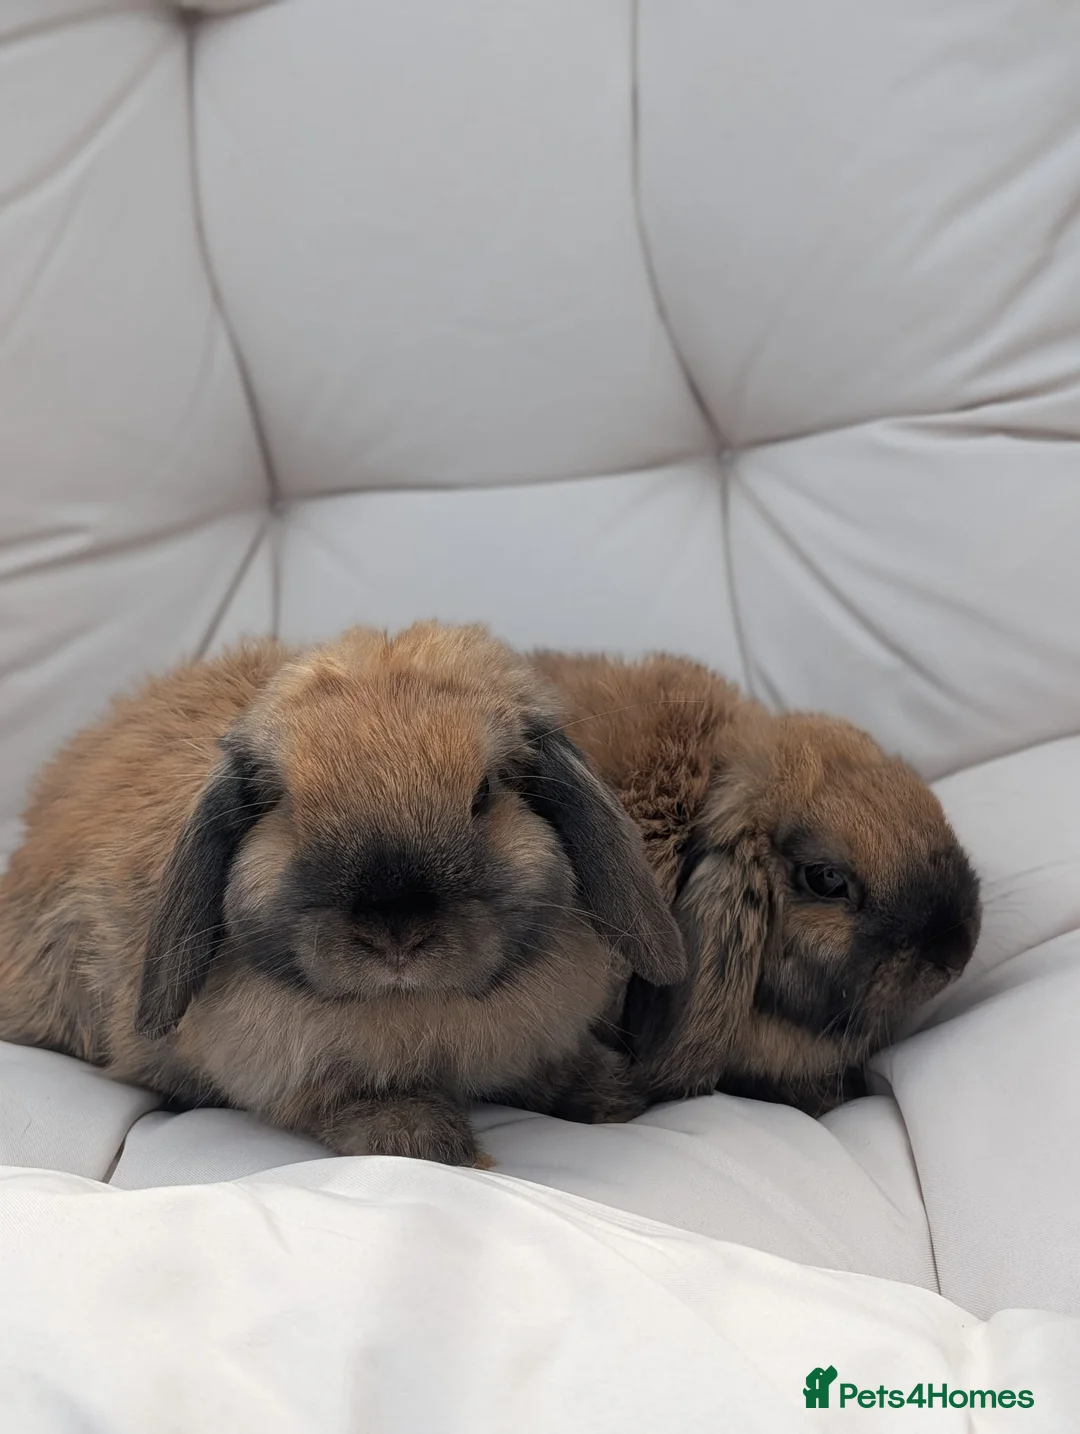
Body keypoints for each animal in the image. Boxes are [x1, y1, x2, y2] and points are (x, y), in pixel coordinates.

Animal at [0, 623, 685, 1167]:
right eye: (286, 806)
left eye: (485, 793)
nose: (396, 932)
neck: (413, 1005)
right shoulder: (287, 1073)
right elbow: (353, 1102)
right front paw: (432, 1143)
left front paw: (612, 1094)